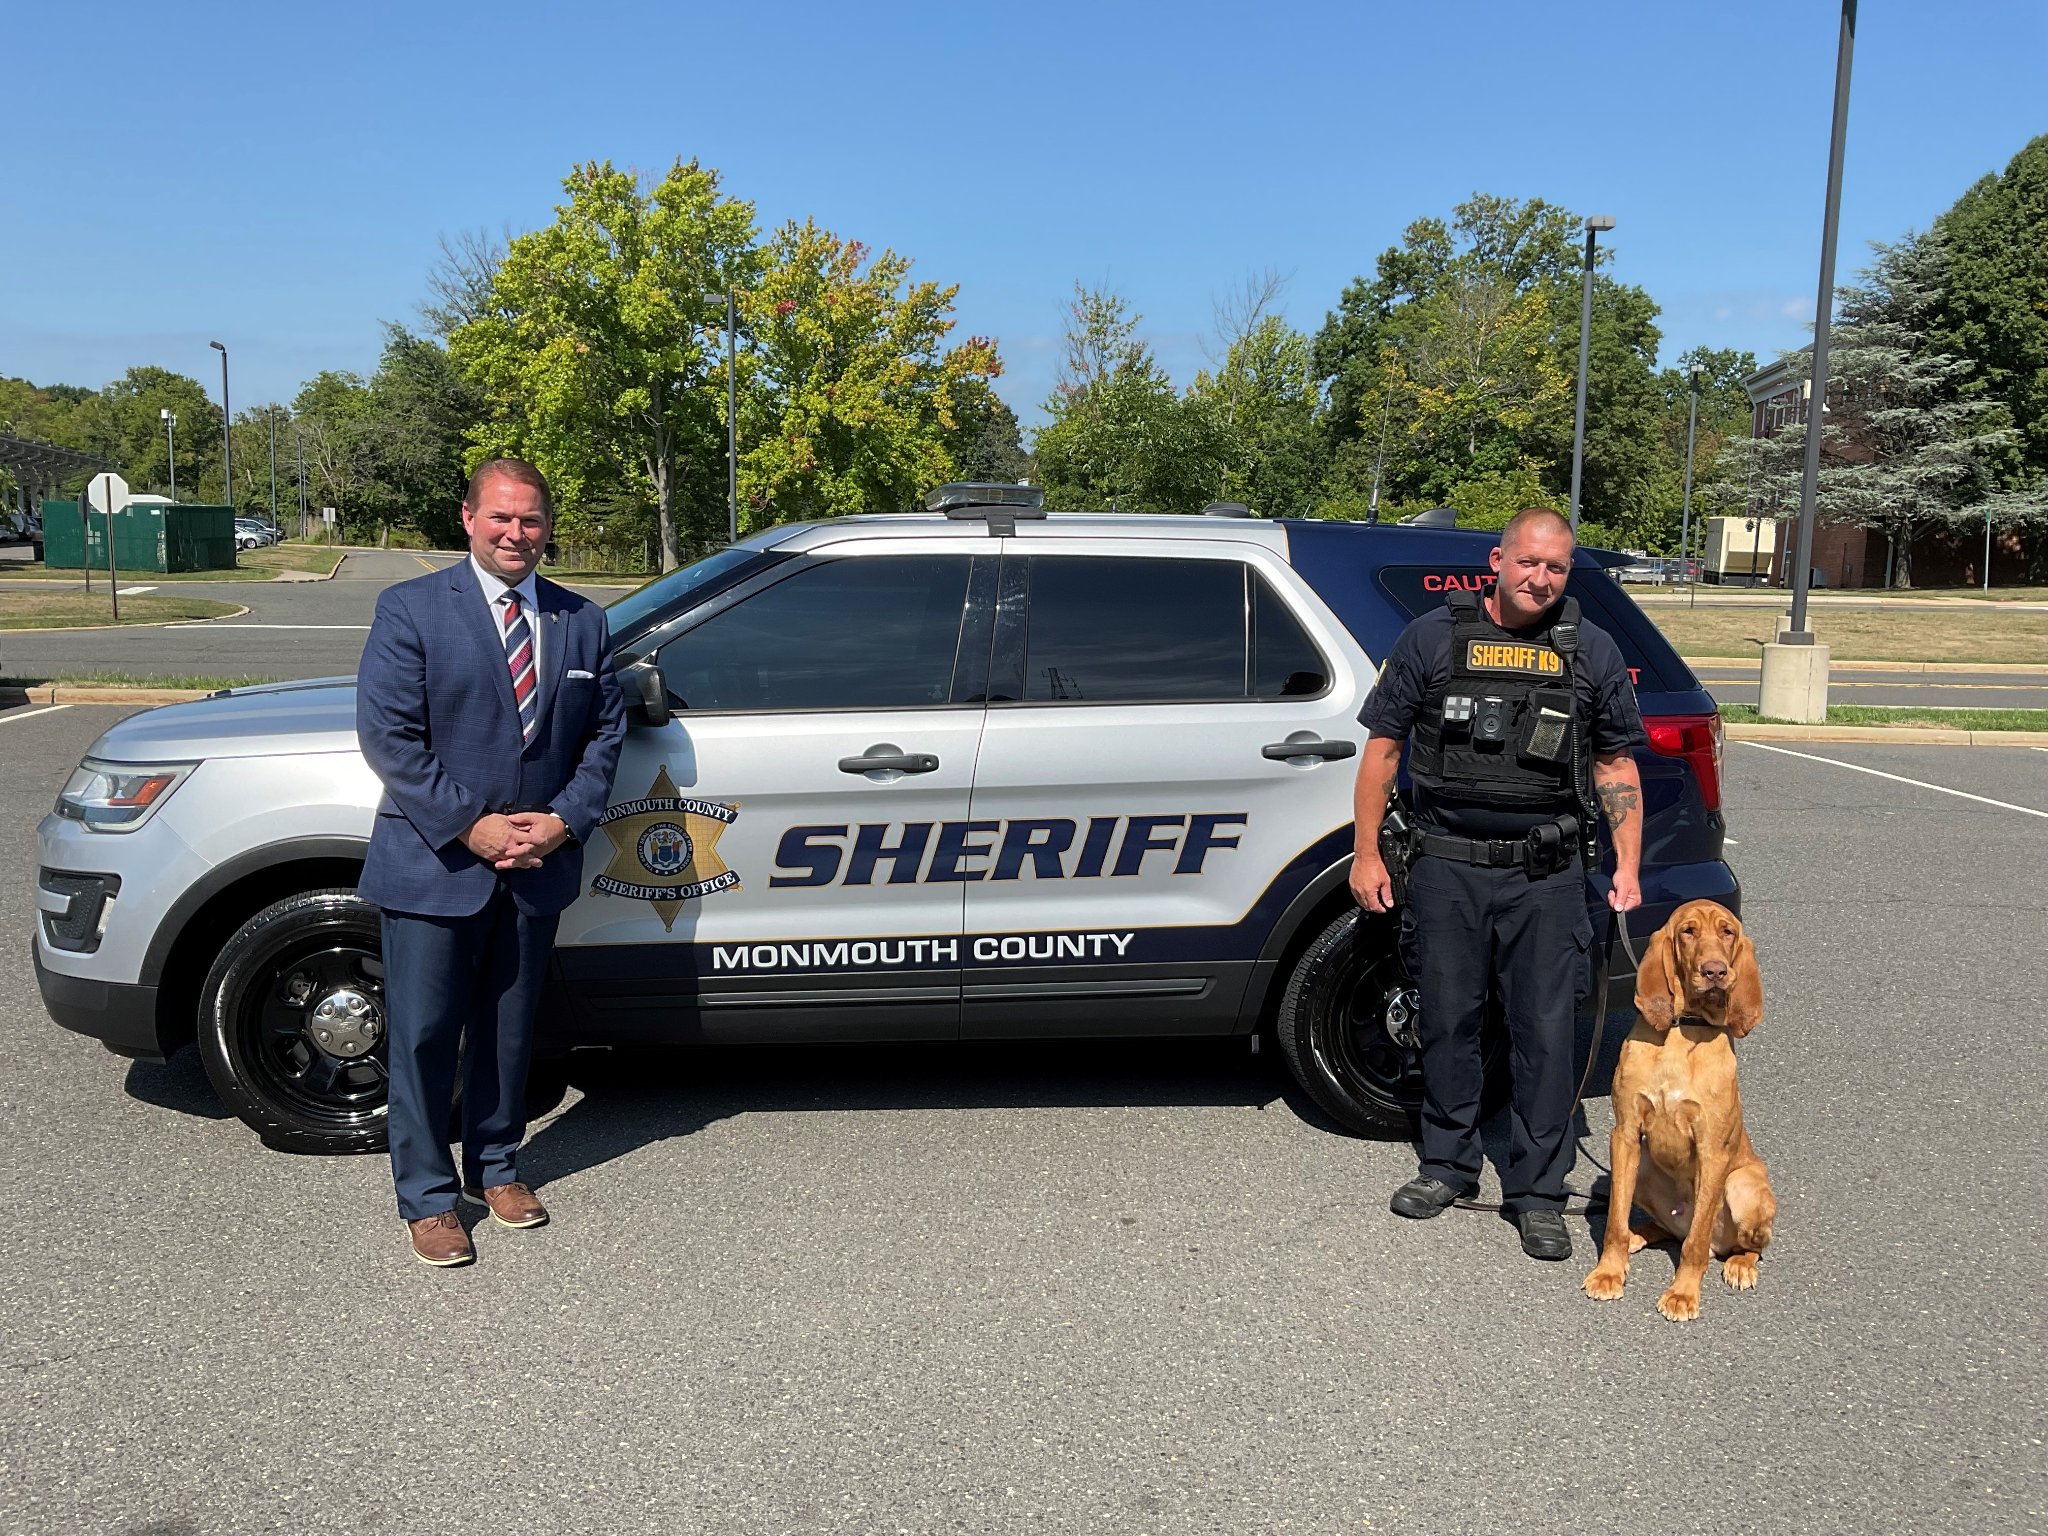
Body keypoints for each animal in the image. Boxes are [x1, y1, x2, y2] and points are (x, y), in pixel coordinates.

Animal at [1581, 901, 1777, 1327]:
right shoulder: (1624, 1135)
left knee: (1736, 1244)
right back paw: (1639, 1235)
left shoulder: (1713, 1150)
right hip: (1640, 1167)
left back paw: (1740, 1265)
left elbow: (1695, 1242)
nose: (1715, 971)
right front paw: (1608, 1273)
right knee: (1662, 1227)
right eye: (1688, 931)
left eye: (1728, 932)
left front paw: (1683, 1294)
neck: (1683, 1029)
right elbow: (1614, 1222)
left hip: (1744, 1186)